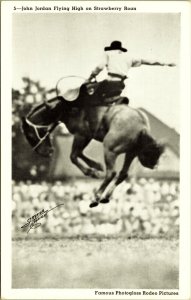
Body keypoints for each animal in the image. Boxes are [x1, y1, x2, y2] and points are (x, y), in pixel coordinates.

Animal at [21, 76, 164, 207]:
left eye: (30, 135)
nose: (47, 152)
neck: (66, 108)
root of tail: (142, 126)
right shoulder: (87, 136)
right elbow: (79, 153)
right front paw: (96, 165)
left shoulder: (81, 135)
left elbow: (73, 155)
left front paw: (93, 172)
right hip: (131, 153)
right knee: (123, 174)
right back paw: (106, 196)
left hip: (110, 149)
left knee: (111, 173)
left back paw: (96, 197)